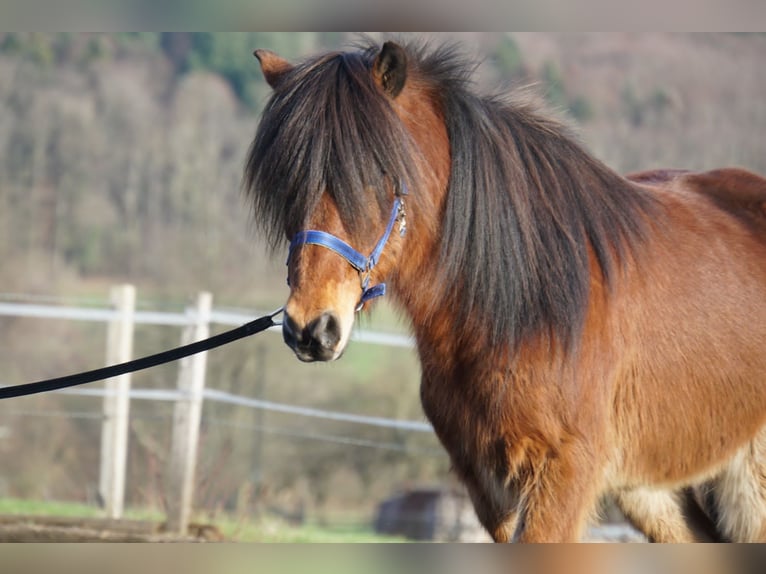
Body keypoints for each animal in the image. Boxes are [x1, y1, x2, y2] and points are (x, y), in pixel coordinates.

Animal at [244, 39, 766, 544]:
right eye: (289, 184)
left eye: (376, 177)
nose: (310, 328)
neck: (522, 307)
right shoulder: (490, 487)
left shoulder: (563, 475)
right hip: (653, 491)